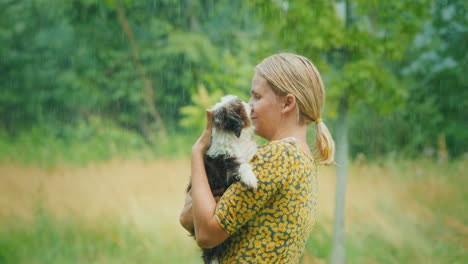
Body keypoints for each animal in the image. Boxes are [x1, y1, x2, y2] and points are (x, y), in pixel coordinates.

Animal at [186, 94, 260, 262]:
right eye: (240, 105)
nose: (250, 105)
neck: (237, 138)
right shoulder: (227, 167)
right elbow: (242, 166)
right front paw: (250, 179)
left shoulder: (249, 151)